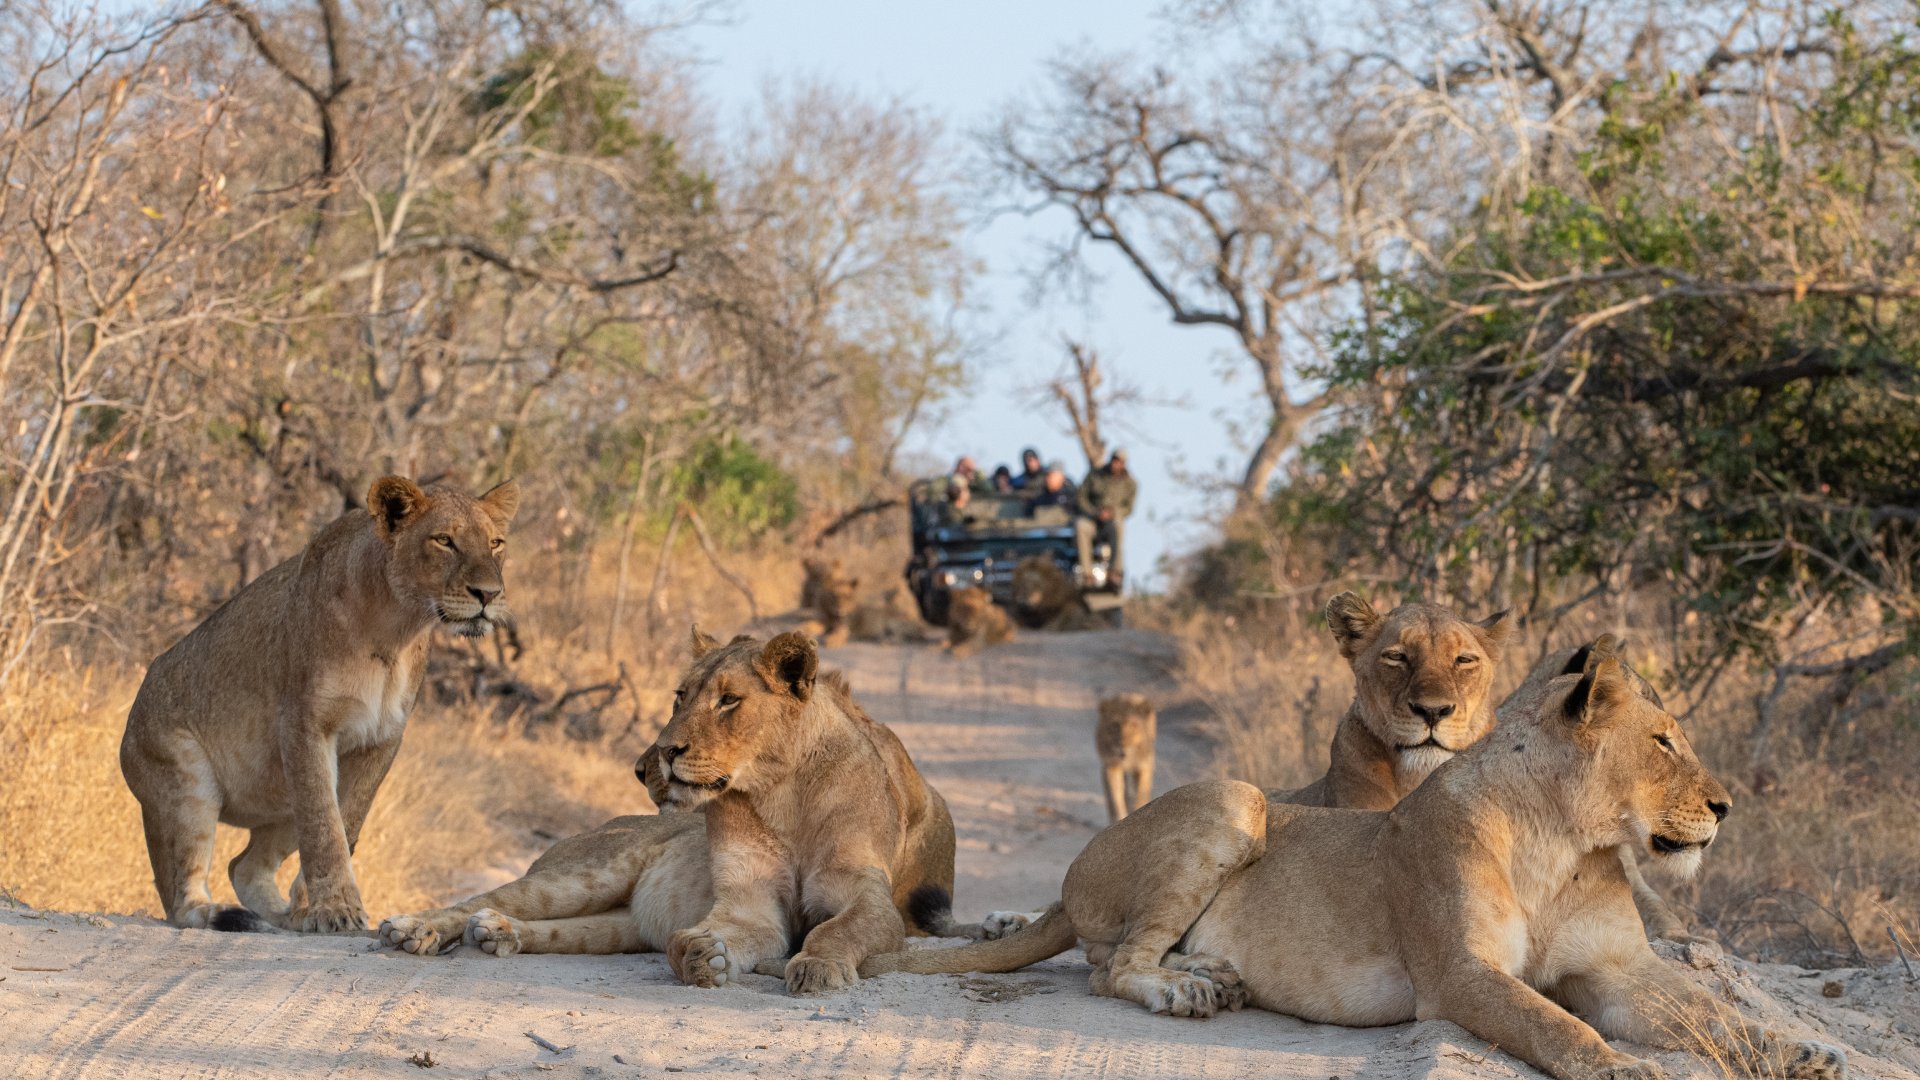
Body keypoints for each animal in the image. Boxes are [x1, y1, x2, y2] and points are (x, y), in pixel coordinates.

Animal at [121, 475, 519, 933]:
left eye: (495, 543)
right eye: (444, 540)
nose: (489, 594)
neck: (395, 630)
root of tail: (126, 737)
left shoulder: (382, 739)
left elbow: (346, 822)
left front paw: (314, 907)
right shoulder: (304, 726)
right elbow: (323, 826)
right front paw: (336, 910)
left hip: (278, 798)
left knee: (243, 866)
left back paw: (282, 918)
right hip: (185, 781)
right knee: (180, 893)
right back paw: (228, 915)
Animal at [379, 628, 982, 994]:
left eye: (729, 700)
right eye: (680, 695)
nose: (660, 756)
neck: (783, 795)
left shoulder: (869, 897)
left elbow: (839, 929)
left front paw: (817, 967)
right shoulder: (748, 906)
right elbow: (704, 937)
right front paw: (700, 957)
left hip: (616, 926)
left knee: (555, 928)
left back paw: (498, 934)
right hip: (585, 874)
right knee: (483, 899)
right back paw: (413, 929)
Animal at [1096, 693, 1156, 823]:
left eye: (1133, 725)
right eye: (1115, 725)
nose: (1122, 745)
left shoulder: (1143, 766)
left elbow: (1141, 793)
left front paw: (1139, 811)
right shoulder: (1110, 765)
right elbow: (1114, 795)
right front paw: (1119, 817)